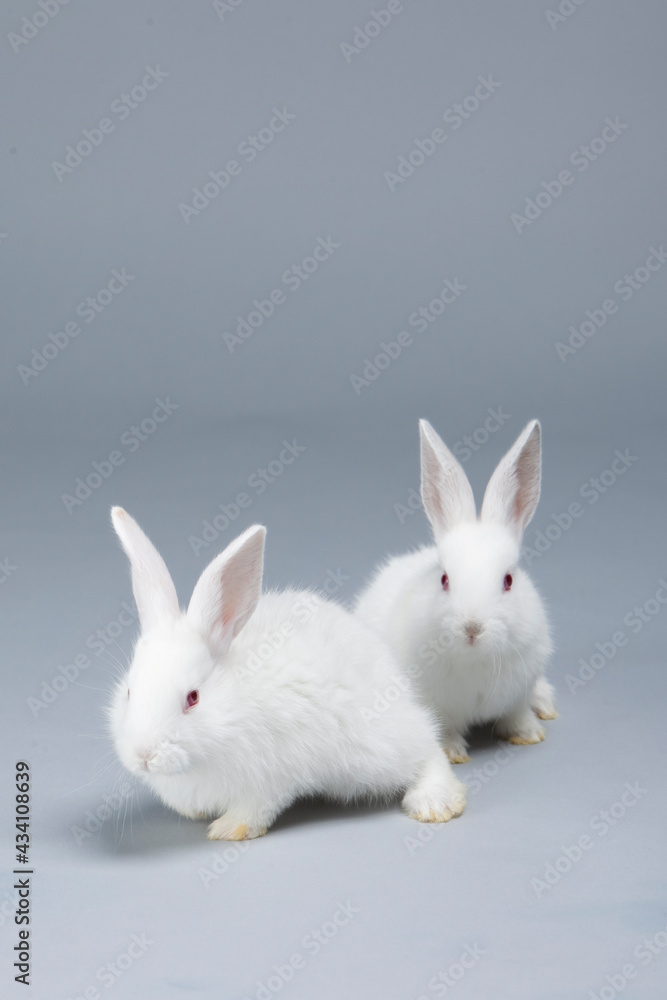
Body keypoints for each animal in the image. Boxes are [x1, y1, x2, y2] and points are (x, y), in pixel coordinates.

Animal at [107, 507, 466, 840]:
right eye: (129, 693)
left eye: (192, 698)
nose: (144, 755)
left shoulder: (269, 778)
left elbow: (255, 809)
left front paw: (228, 830)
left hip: (378, 748)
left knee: (428, 750)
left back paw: (436, 804)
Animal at [355, 419, 557, 765]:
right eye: (444, 579)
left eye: (508, 580)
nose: (472, 628)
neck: (475, 659)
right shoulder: (436, 706)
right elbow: (444, 728)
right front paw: (453, 754)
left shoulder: (517, 695)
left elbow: (516, 715)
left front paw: (530, 735)